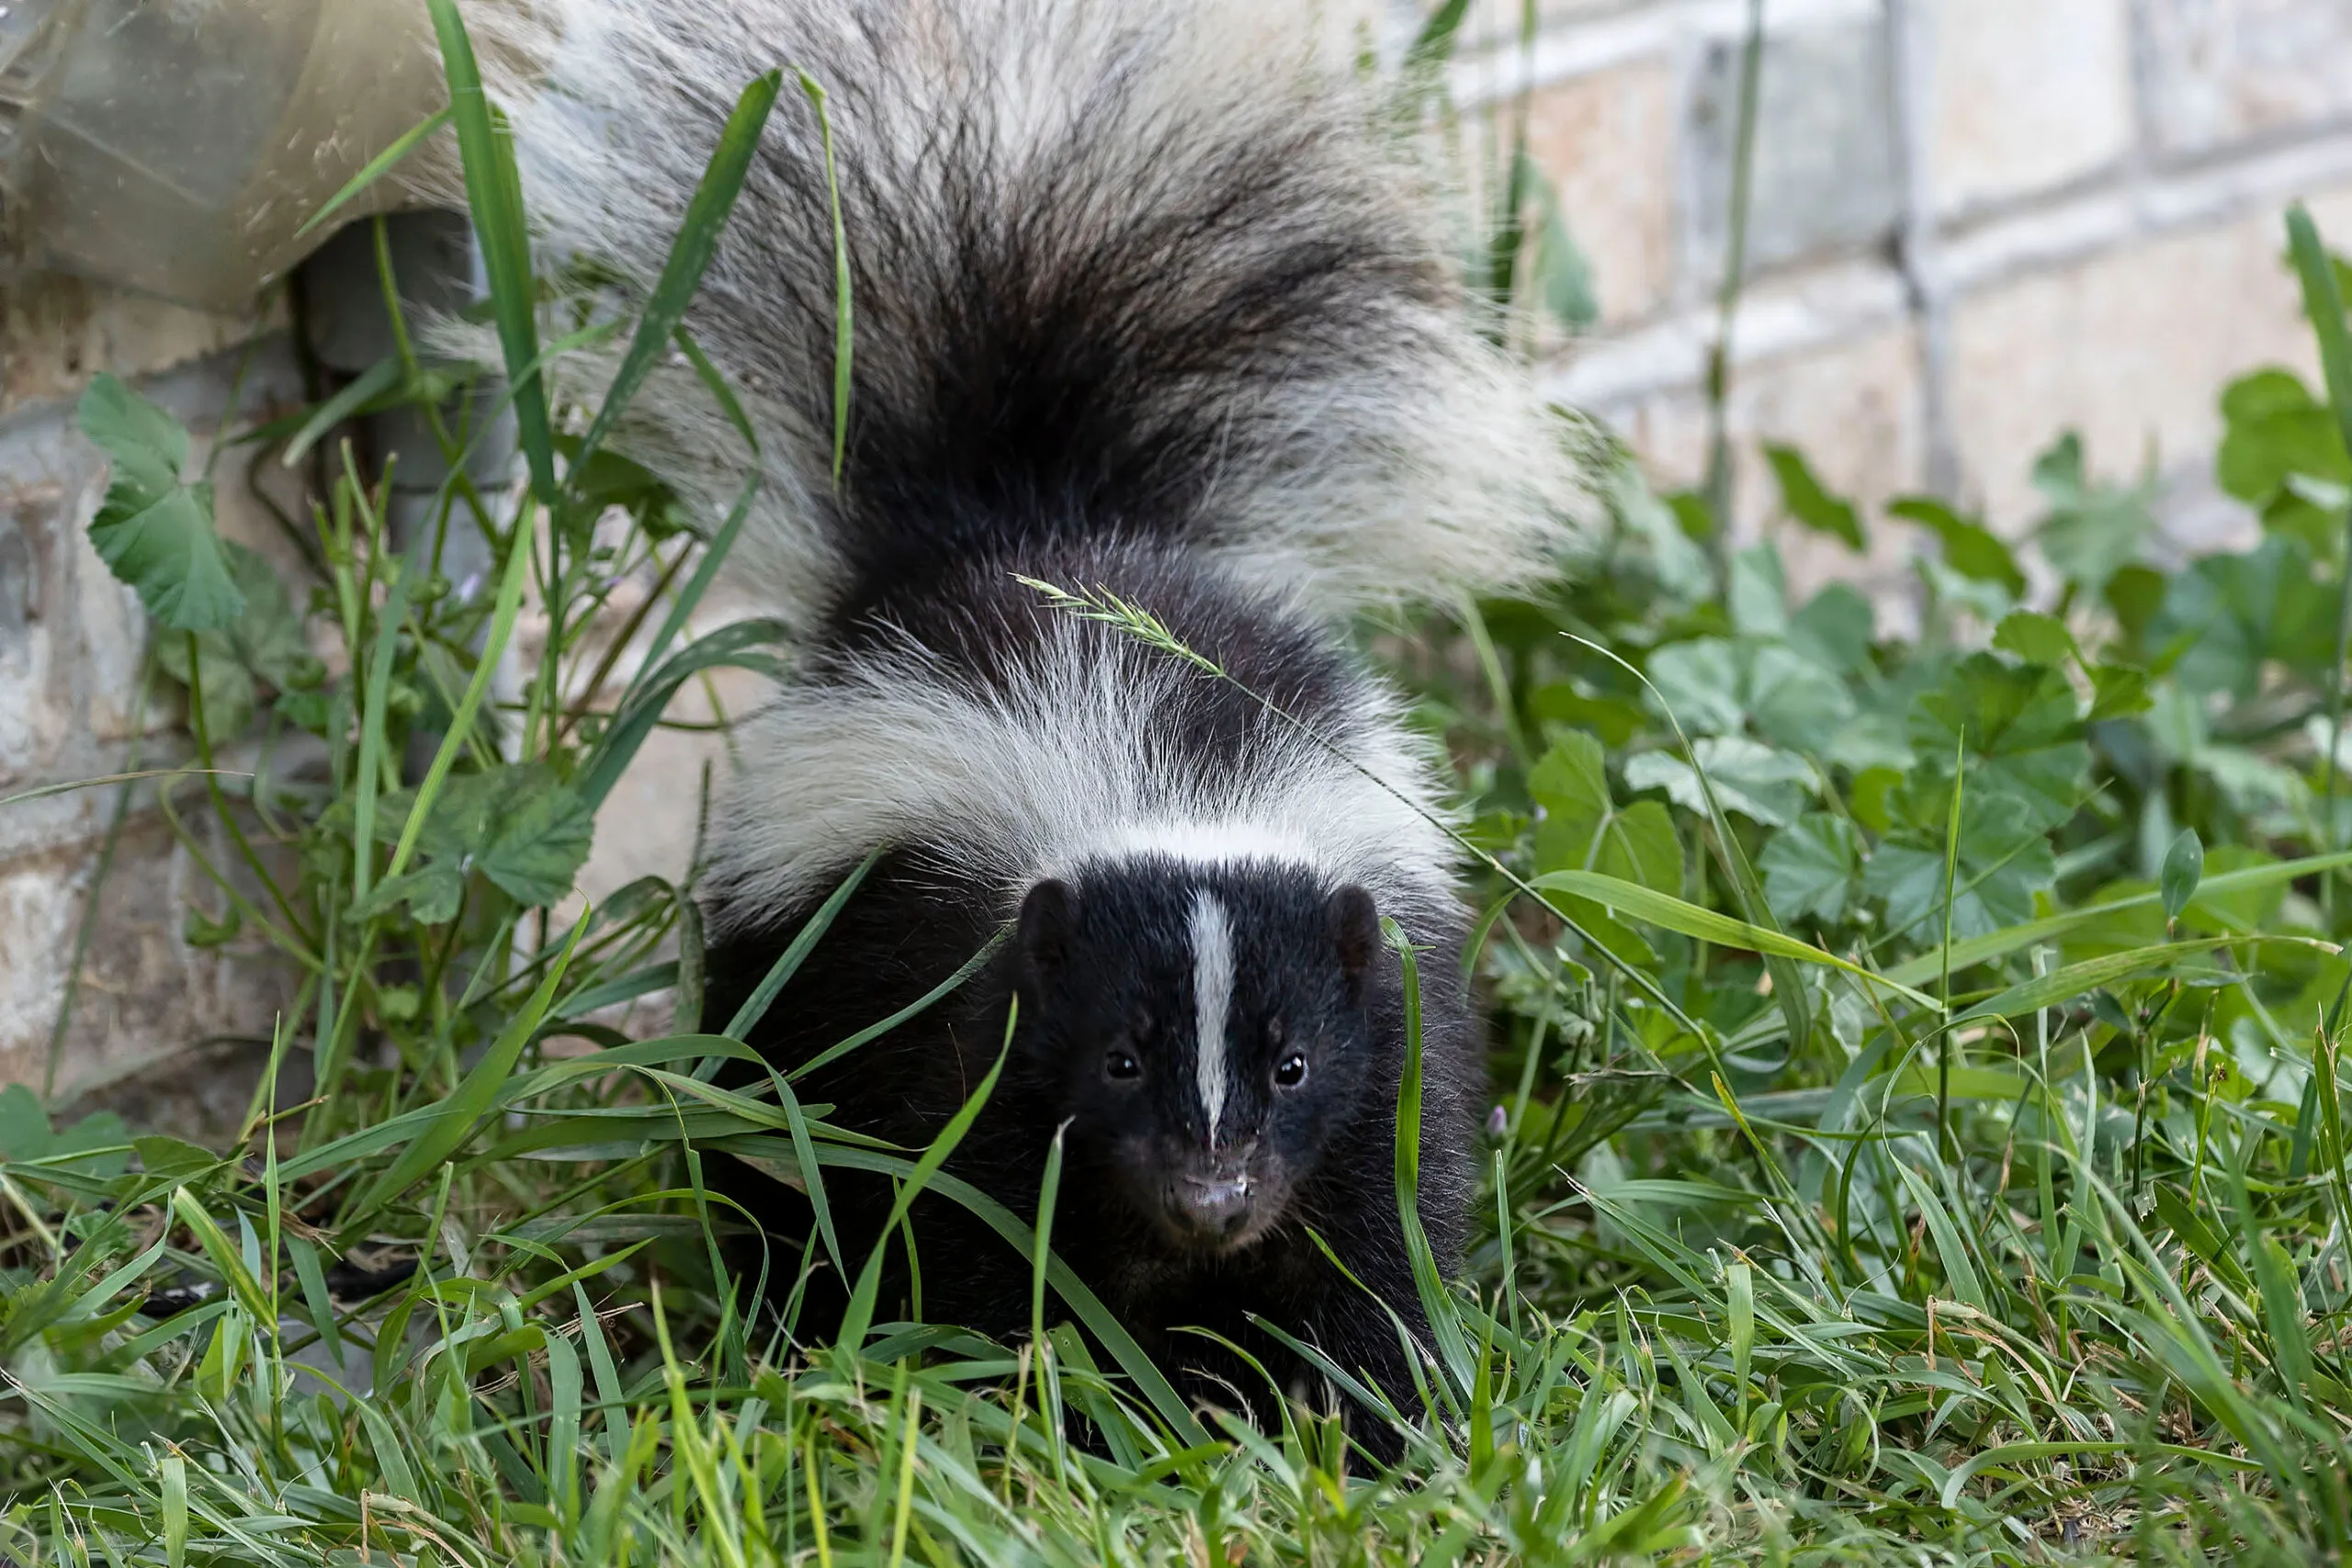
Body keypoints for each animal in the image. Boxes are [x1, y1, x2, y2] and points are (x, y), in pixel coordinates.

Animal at [470, 0, 1589, 1448]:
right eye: (1117, 1055)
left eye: (1290, 1063)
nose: (1211, 1194)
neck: (1171, 783)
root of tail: (1022, 523)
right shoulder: (967, 1008)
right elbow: (976, 1217)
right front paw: (1045, 1407)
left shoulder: (1389, 1023)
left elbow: (1380, 1226)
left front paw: (1365, 1417)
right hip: (791, 961)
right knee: (769, 1138)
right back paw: (782, 1306)